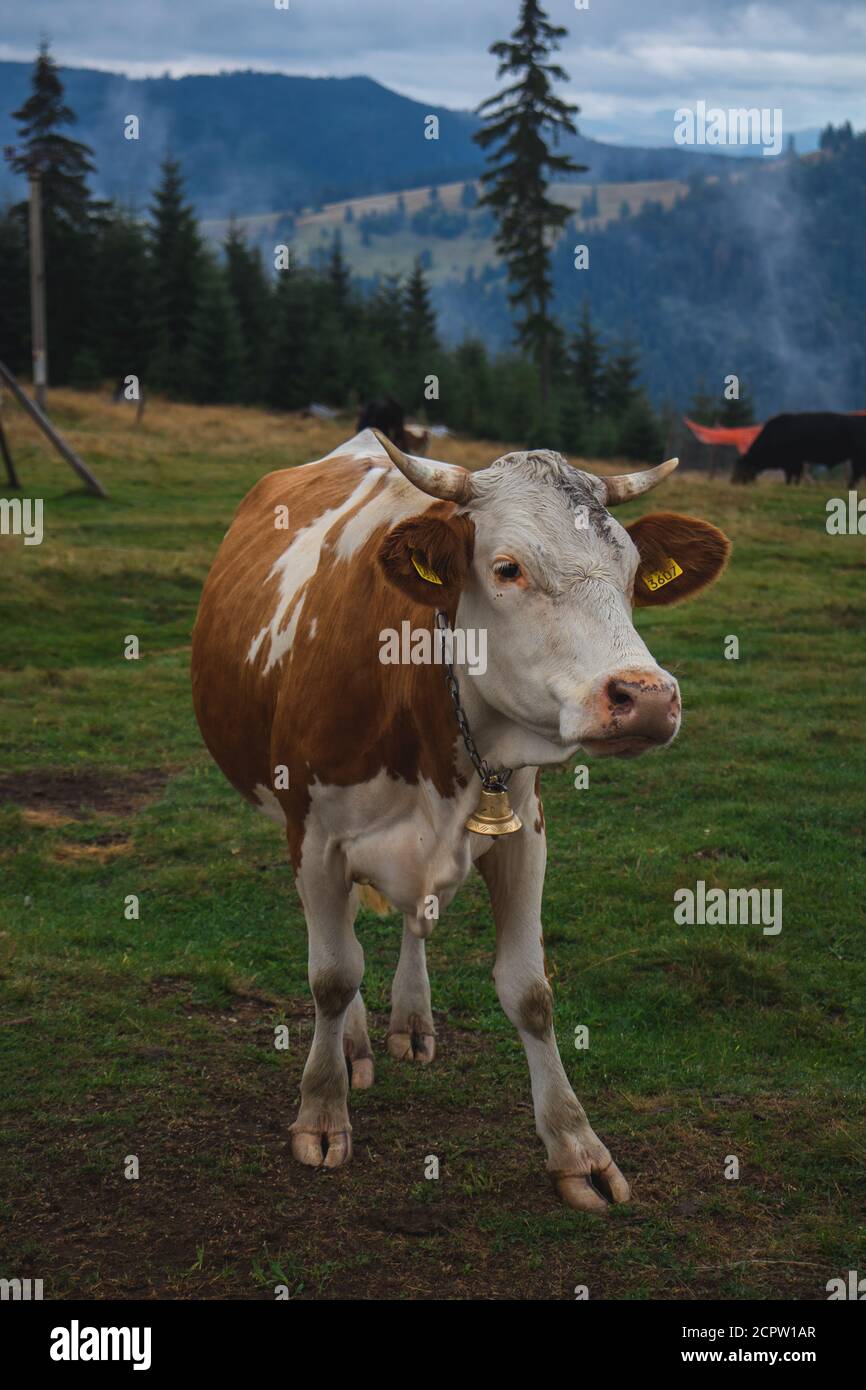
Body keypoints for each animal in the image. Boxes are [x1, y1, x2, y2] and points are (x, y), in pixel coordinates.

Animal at [191, 428, 733, 1212]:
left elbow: (530, 992)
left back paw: (410, 1020)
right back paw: (353, 1043)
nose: (648, 698)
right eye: (506, 568)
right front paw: (321, 1111)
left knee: (412, 923)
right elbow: (331, 977)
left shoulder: (523, 833)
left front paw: (576, 1148)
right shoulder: (315, 838)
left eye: (633, 573)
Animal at [733, 411, 866, 489]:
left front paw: (791, 485)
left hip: (857, 458)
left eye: (741, 468)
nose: (733, 481)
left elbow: (793, 474)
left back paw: (850, 487)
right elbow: (793, 474)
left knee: (857, 473)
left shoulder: (793, 462)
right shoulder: (796, 462)